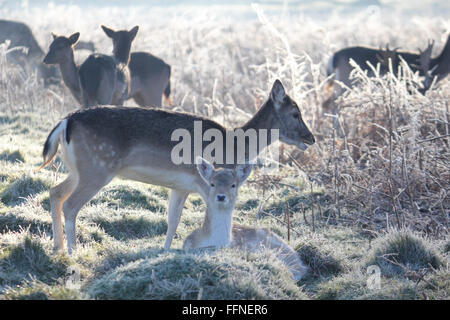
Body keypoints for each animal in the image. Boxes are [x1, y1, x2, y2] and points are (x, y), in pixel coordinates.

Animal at [37, 80, 312, 255]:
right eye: (296, 113)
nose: (311, 138)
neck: (236, 145)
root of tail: (66, 122)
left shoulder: (181, 187)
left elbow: (173, 220)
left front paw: (166, 251)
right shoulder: (205, 183)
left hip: (78, 169)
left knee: (55, 192)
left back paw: (56, 247)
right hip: (96, 169)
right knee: (71, 205)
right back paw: (73, 251)